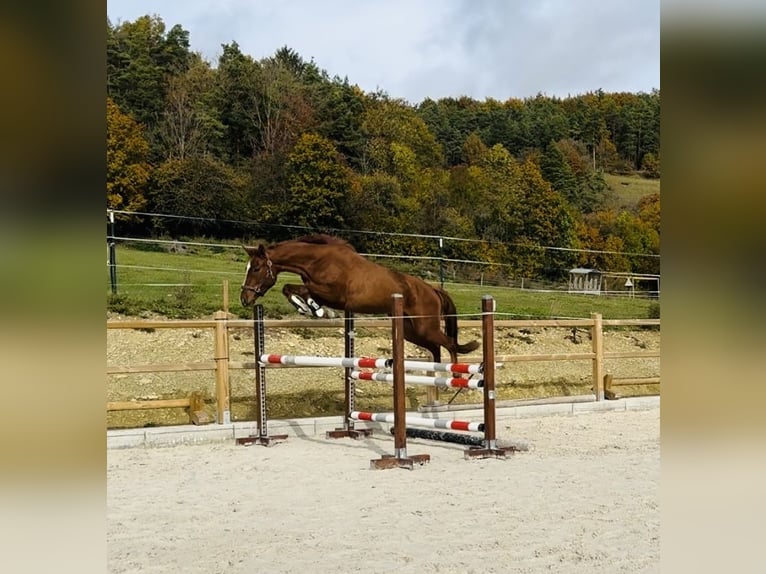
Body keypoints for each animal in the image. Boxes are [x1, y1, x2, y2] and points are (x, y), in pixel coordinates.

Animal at [240, 235, 480, 364]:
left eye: (257, 268)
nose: (245, 298)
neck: (317, 260)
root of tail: (432, 289)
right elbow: (289, 288)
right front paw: (306, 308)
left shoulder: (334, 294)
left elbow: (303, 290)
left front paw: (316, 309)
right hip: (412, 331)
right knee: (436, 348)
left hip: (425, 326)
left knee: (449, 344)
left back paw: (454, 378)